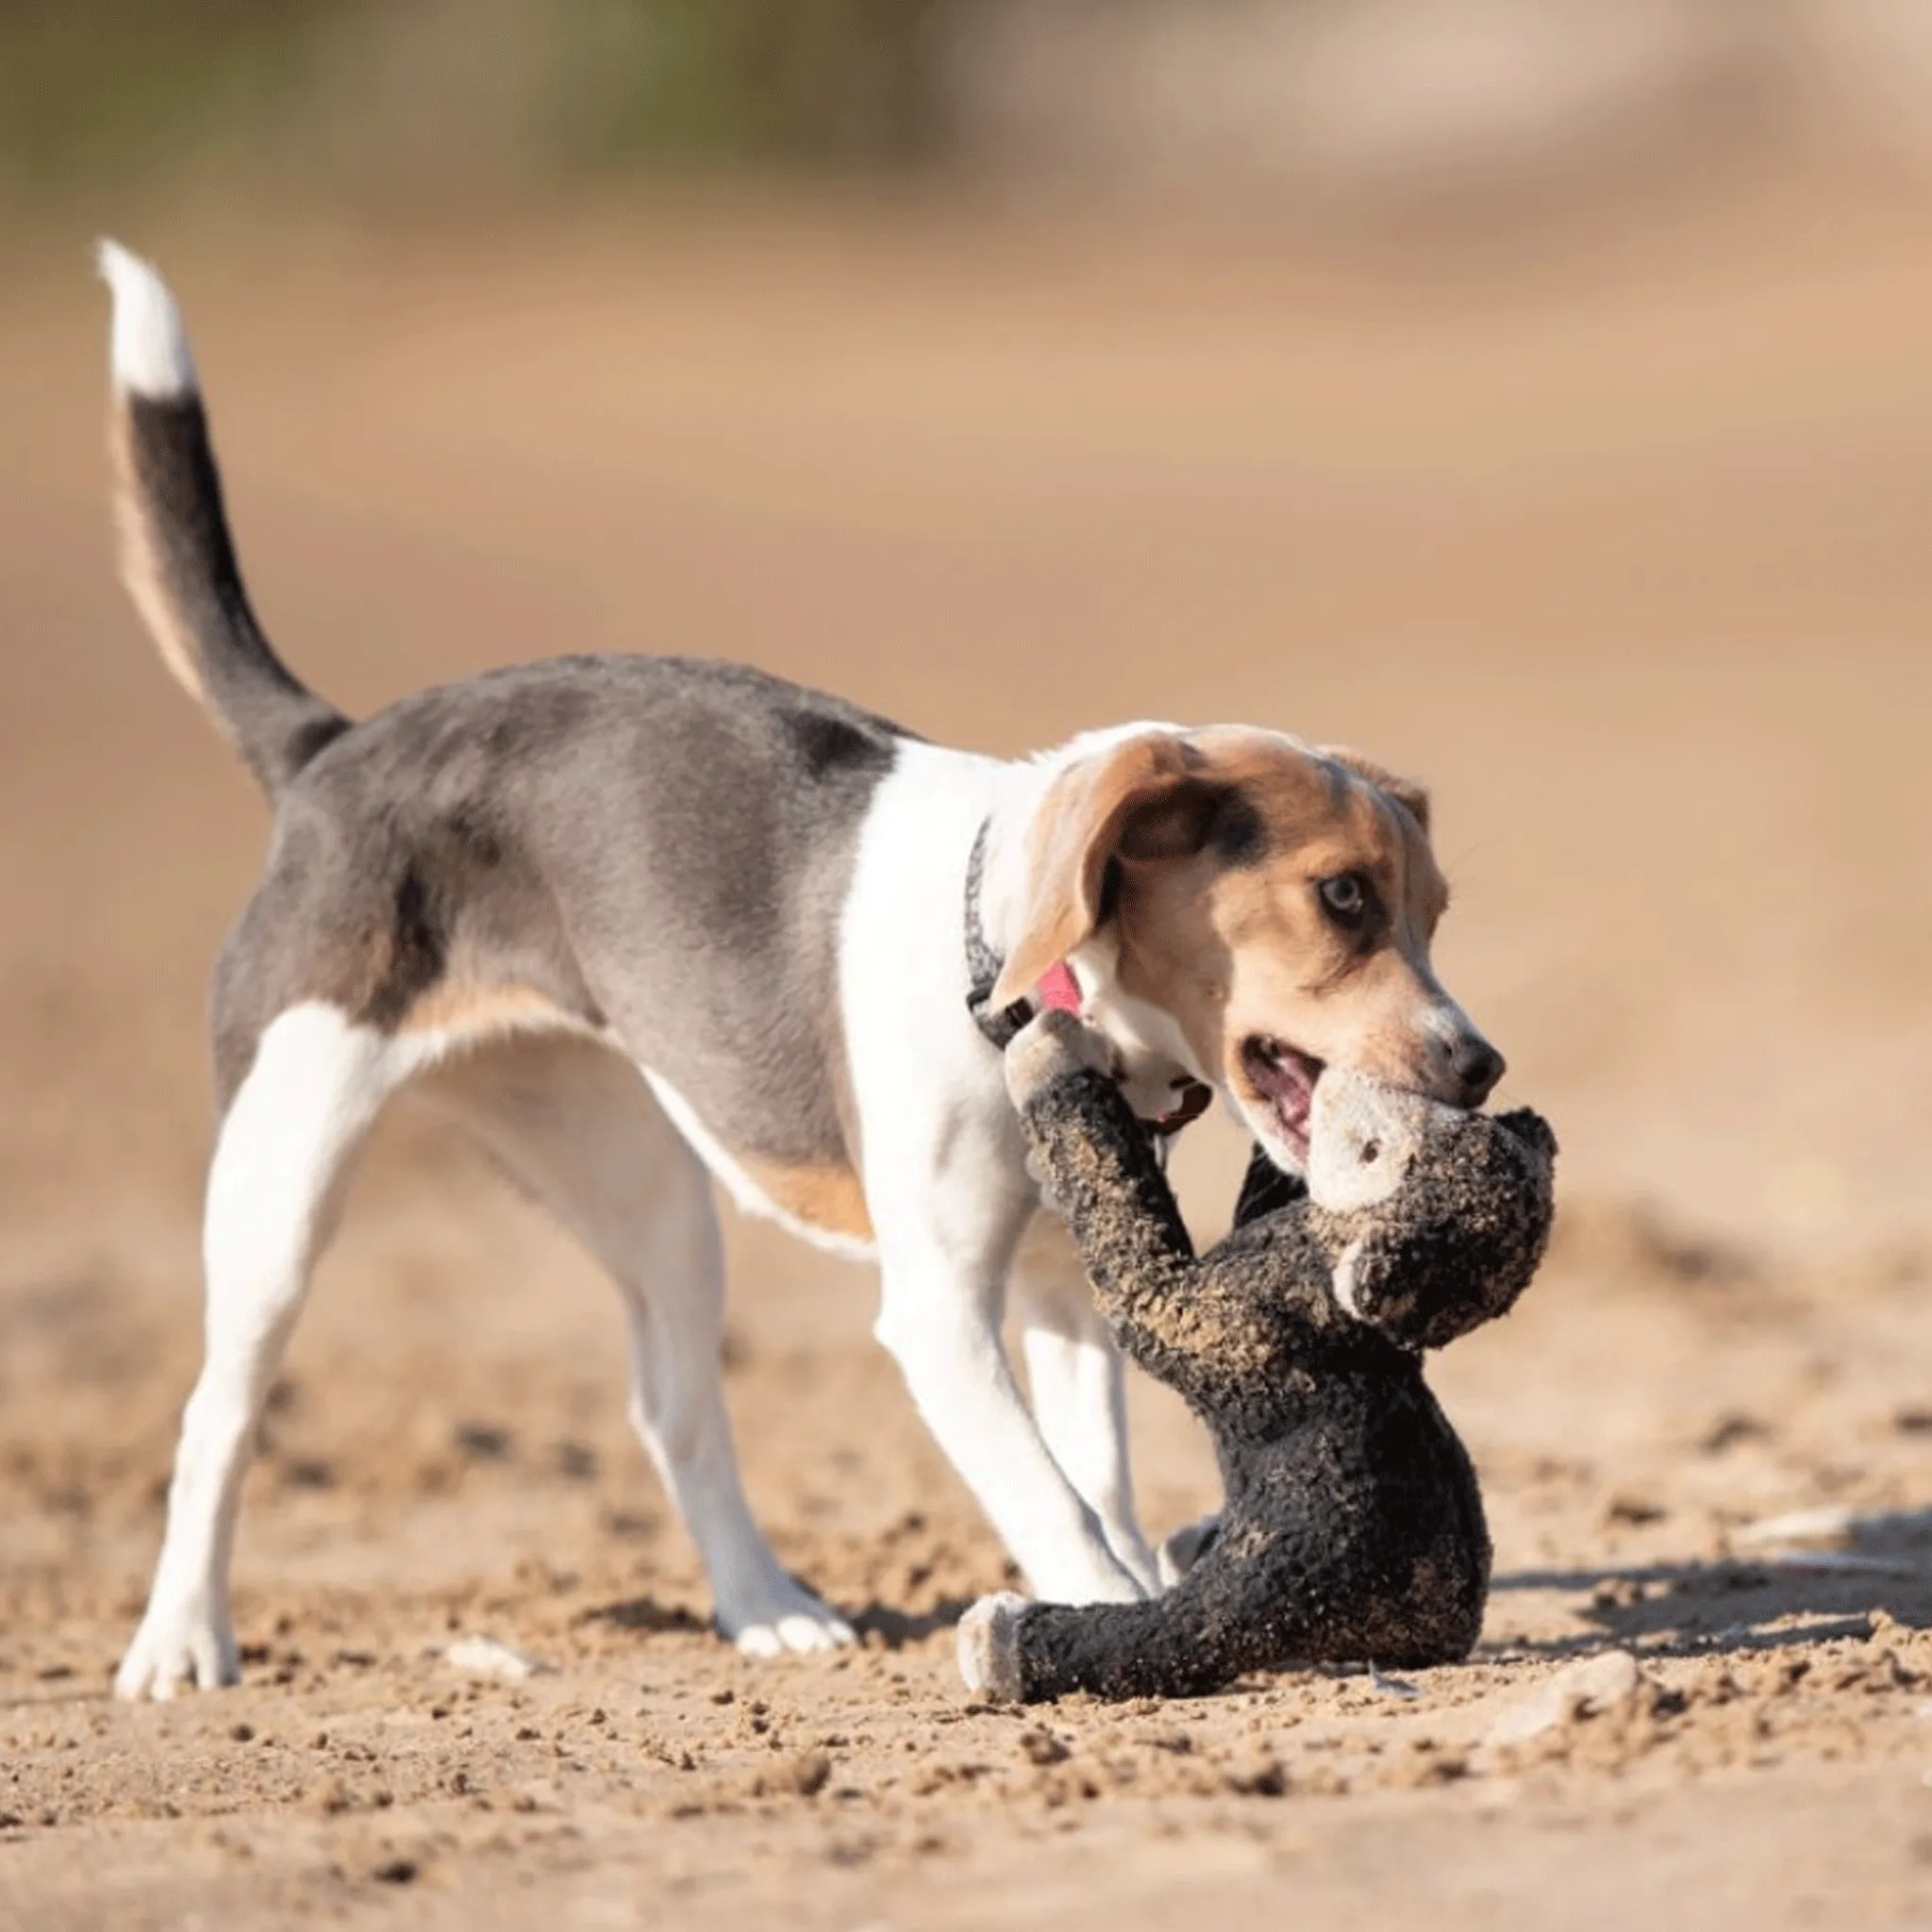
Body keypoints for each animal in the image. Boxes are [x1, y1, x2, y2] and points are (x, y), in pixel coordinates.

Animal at [97, 237, 1499, 1692]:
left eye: (1435, 912)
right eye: (1340, 897)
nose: (1481, 1065)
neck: (1008, 975)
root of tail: (329, 749)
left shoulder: (1062, 1285)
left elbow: (1099, 1480)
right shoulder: (937, 1310)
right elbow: (1055, 1504)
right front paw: (1109, 1617)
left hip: (648, 1192)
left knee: (672, 1408)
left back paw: (765, 1605)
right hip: (280, 1176)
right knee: (218, 1413)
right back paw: (181, 1642)